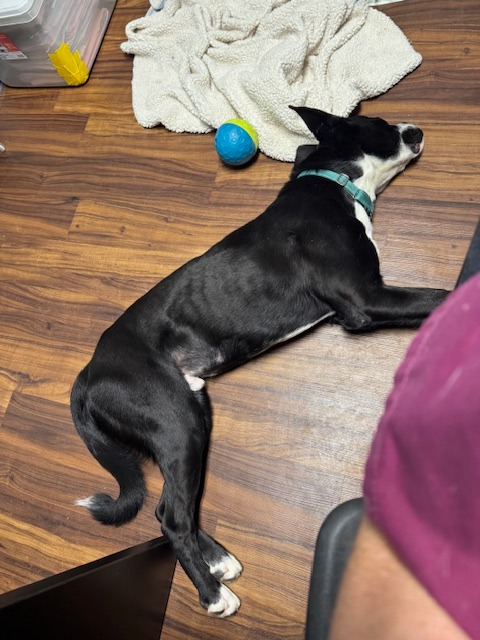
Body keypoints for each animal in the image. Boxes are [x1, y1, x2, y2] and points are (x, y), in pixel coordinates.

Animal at [71, 107, 449, 617]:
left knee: (172, 508)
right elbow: (438, 297)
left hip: (193, 414)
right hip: (176, 422)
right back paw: (212, 595)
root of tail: (90, 371)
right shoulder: (364, 300)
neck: (333, 180)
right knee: (171, 516)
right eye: (380, 122)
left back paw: (218, 561)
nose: (417, 130)